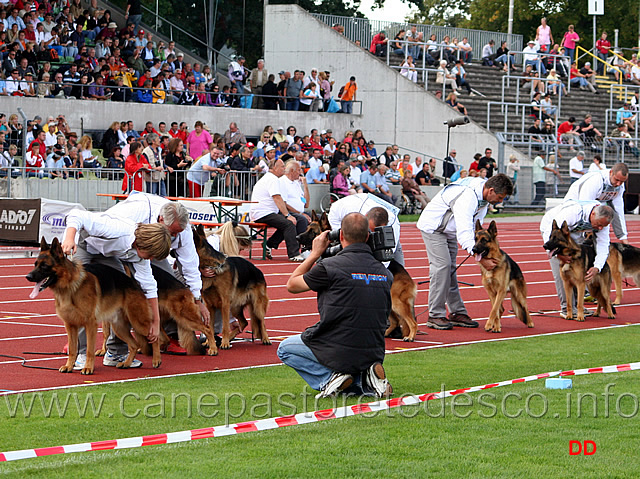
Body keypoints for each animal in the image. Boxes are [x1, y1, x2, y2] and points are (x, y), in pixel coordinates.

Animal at [26, 238, 162, 376]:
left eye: (44, 266)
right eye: (35, 264)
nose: (28, 277)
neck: (69, 287)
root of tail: (136, 284)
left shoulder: (90, 325)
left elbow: (89, 350)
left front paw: (88, 368)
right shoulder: (70, 326)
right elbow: (73, 349)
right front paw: (69, 366)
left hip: (138, 322)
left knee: (154, 337)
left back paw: (156, 359)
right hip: (119, 327)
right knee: (134, 345)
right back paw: (127, 363)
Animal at [296, 210, 418, 342]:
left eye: (312, 232)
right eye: (306, 229)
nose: (297, 237)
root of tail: (410, 279)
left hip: (396, 303)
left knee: (412, 322)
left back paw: (410, 336)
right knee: (396, 321)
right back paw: (386, 333)